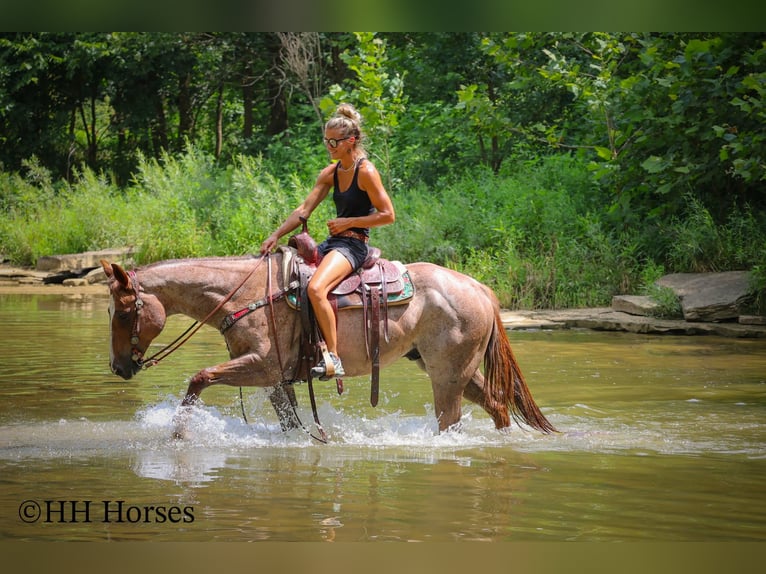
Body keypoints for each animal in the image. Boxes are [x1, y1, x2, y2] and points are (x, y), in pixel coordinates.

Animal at [100, 252, 556, 437]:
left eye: (121, 314)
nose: (119, 367)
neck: (244, 294)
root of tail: (480, 288)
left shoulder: (262, 366)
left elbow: (199, 378)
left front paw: (179, 433)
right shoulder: (276, 378)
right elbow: (290, 422)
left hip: (447, 376)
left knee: (452, 421)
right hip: (456, 370)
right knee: (497, 406)